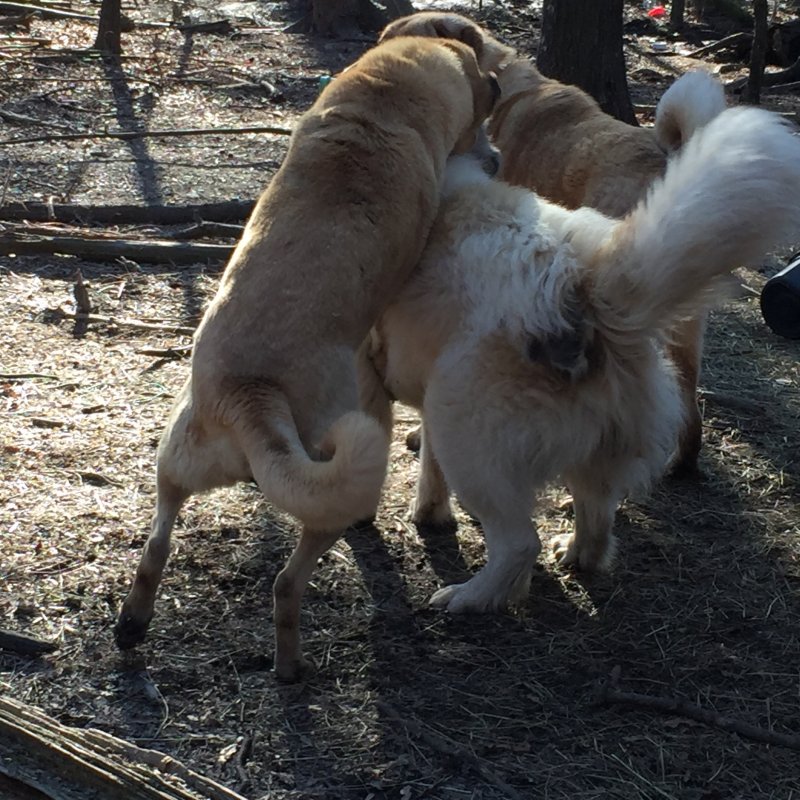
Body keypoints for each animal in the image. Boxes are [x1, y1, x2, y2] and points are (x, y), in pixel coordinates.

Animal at [112, 34, 500, 680]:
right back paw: (291, 669)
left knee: (156, 542)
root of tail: (250, 395)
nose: (494, 157)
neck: (384, 91)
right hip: (332, 497)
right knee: (286, 584)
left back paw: (132, 626)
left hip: (177, 459)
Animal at [372, 108, 800, 612]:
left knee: (520, 543)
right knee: (597, 521)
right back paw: (575, 555)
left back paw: (469, 598)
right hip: (592, 449)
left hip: (465, 433)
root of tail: (586, 290)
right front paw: (430, 513)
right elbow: (430, 471)